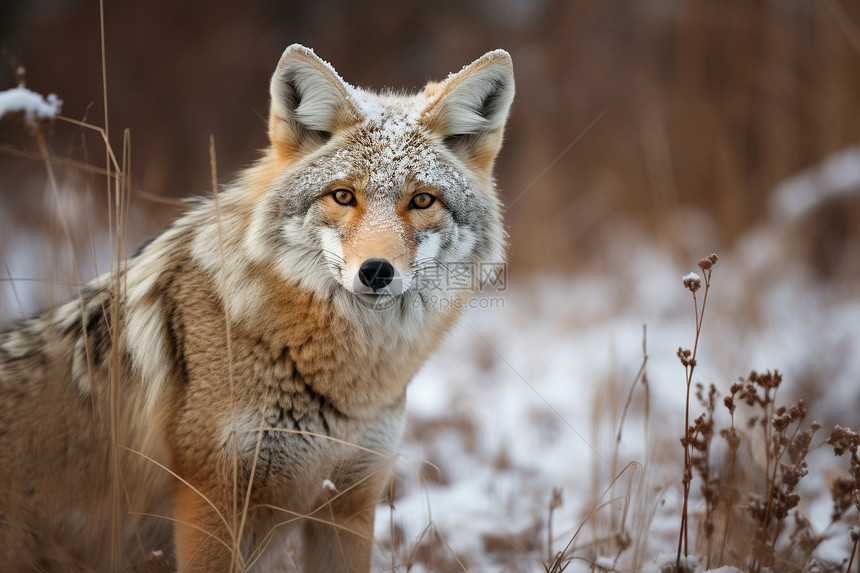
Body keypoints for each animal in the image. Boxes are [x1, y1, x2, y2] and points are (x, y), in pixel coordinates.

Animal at [0, 42, 510, 568]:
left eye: (422, 200)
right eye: (343, 196)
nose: (376, 271)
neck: (348, 387)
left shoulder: (346, 507)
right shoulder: (211, 504)